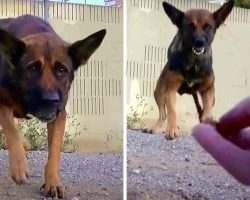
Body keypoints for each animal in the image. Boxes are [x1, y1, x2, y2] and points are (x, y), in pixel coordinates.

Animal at [0, 14, 106, 198]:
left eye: (61, 70)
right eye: (33, 68)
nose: (50, 100)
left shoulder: (59, 115)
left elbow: (55, 152)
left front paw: (53, 182)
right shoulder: (2, 102)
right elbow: (11, 131)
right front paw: (19, 166)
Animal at [145, 0, 234, 140]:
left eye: (208, 26)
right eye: (190, 26)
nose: (199, 42)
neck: (193, 62)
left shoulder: (208, 90)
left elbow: (207, 113)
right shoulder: (170, 90)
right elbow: (172, 111)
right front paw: (172, 129)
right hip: (159, 92)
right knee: (163, 114)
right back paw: (154, 128)